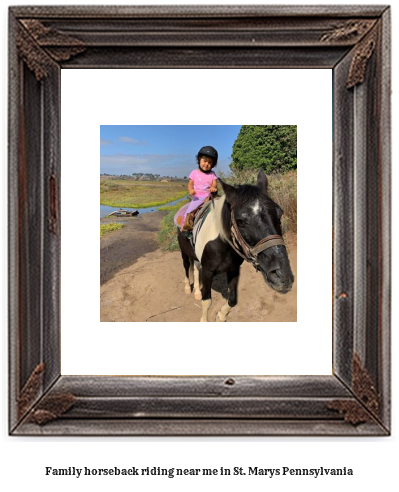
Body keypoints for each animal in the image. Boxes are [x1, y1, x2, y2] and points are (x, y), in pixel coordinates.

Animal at [178, 170, 294, 322]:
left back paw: (197, 291)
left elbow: (233, 299)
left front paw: (221, 315)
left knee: (196, 269)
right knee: (187, 268)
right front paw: (204, 319)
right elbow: (206, 301)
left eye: (279, 213)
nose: (283, 277)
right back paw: (188, 288)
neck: (223, 245)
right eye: (241, 221)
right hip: (184, 252)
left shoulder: (233, 269)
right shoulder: (208, 271)